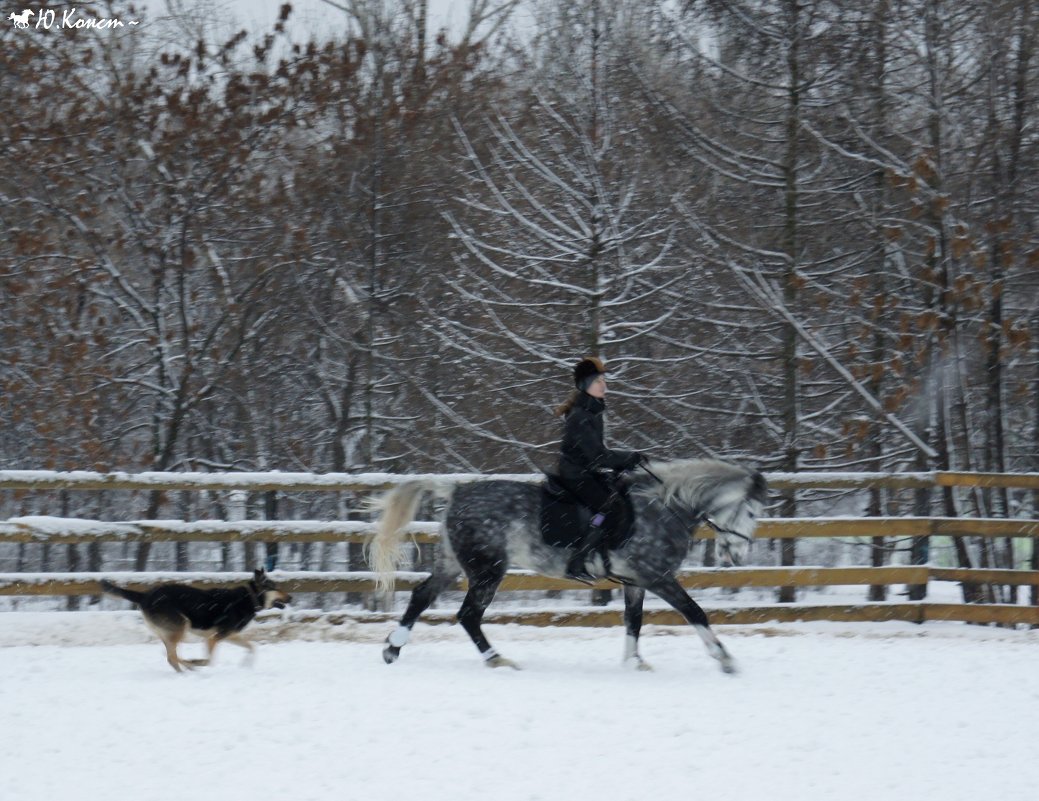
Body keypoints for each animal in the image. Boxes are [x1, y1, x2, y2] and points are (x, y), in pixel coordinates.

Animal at [100, 565, 292, 673]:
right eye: (275, 586)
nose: (290, 597)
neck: (250, 597)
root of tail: (146, 595)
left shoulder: (229, 635)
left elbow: (252, 647)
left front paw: (247, 664)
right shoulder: (215, 638)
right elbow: (209, 660)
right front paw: (198, 662)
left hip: (169, 633)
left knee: (170, 656)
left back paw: (186, 670)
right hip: (181, 627)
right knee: (172, 657)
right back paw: (189, 667)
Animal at [369, 461, 768, 673]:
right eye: (750, 512)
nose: (738, 557)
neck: (663, 509)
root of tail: (457, 492)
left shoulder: (635, 582)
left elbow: (633, 621)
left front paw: (634, 663)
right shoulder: (658, 578)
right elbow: (694, 611)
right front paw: (725, 660)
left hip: (455, 564)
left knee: (422, 596)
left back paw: (392, 649)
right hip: (487, 570)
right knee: (468, 615)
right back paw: (498, 660)